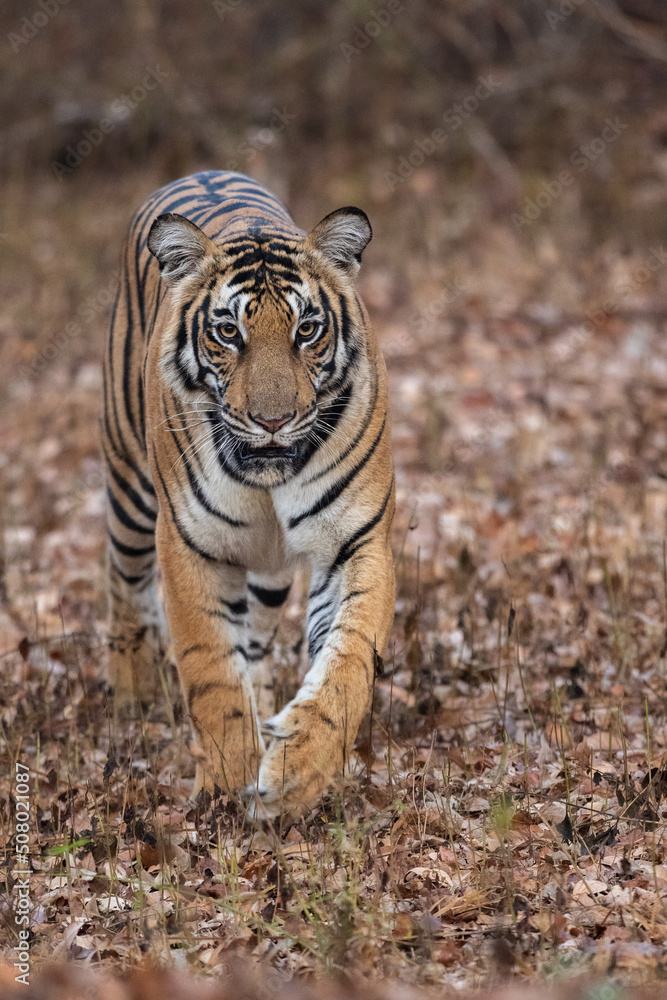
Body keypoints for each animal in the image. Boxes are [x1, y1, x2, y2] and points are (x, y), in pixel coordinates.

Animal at [102, 170, 395, 817]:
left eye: (306, 330)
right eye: (228, 332)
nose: (273, 421)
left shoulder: (355, 542)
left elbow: (348, 661)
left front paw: (295, 770)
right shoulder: (190, 546)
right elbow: (210, 668)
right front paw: (226, 783)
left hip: (267, 569)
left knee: (257, 637)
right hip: (129, 491)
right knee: (124, 587)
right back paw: (130, 693)